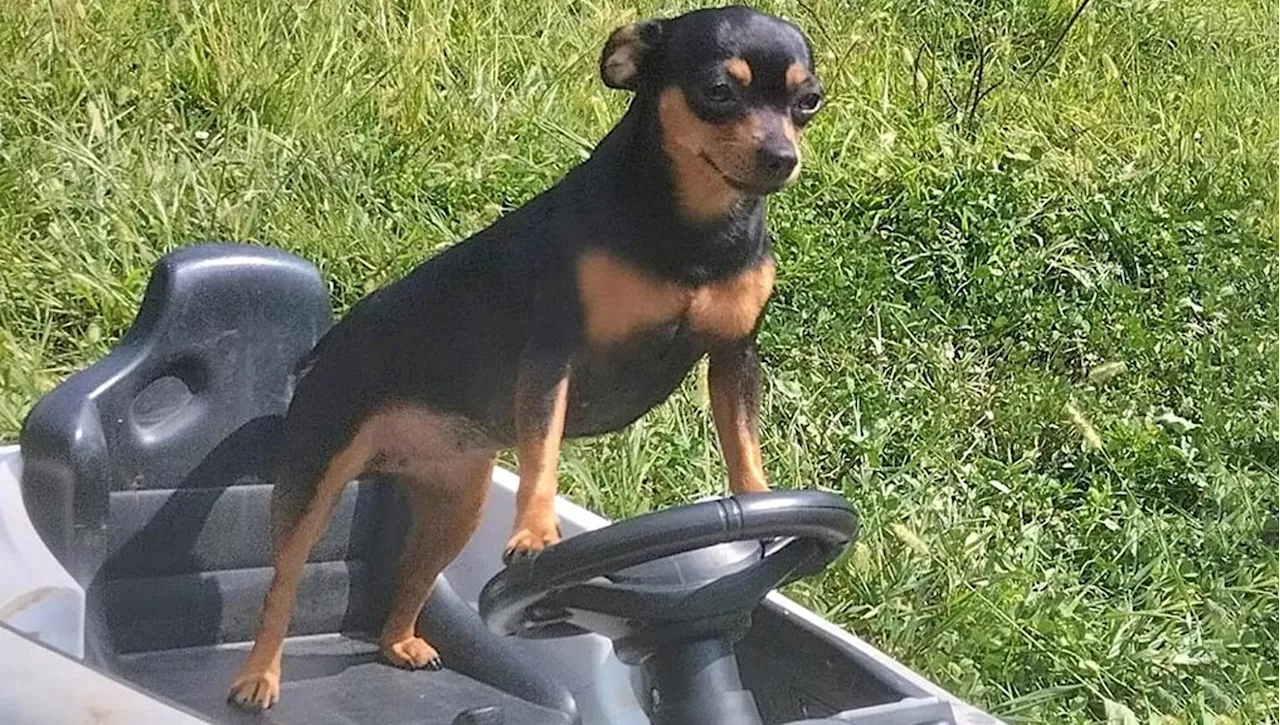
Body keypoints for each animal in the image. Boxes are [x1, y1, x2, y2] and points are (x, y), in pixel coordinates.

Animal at [231, 5, 824, 712]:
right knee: (282, 587)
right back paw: (258, 676)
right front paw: (537, 532)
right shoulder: (552, 358)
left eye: (808, 102)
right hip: (313, 488)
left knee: (412, 578)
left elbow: (742, 445)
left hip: (456, 508)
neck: (692, 228)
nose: (782, 157)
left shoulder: (734, 358)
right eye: (718, 92)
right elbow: (542, 456)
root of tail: (324, 349)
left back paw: (398, 641)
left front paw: (764, 506)